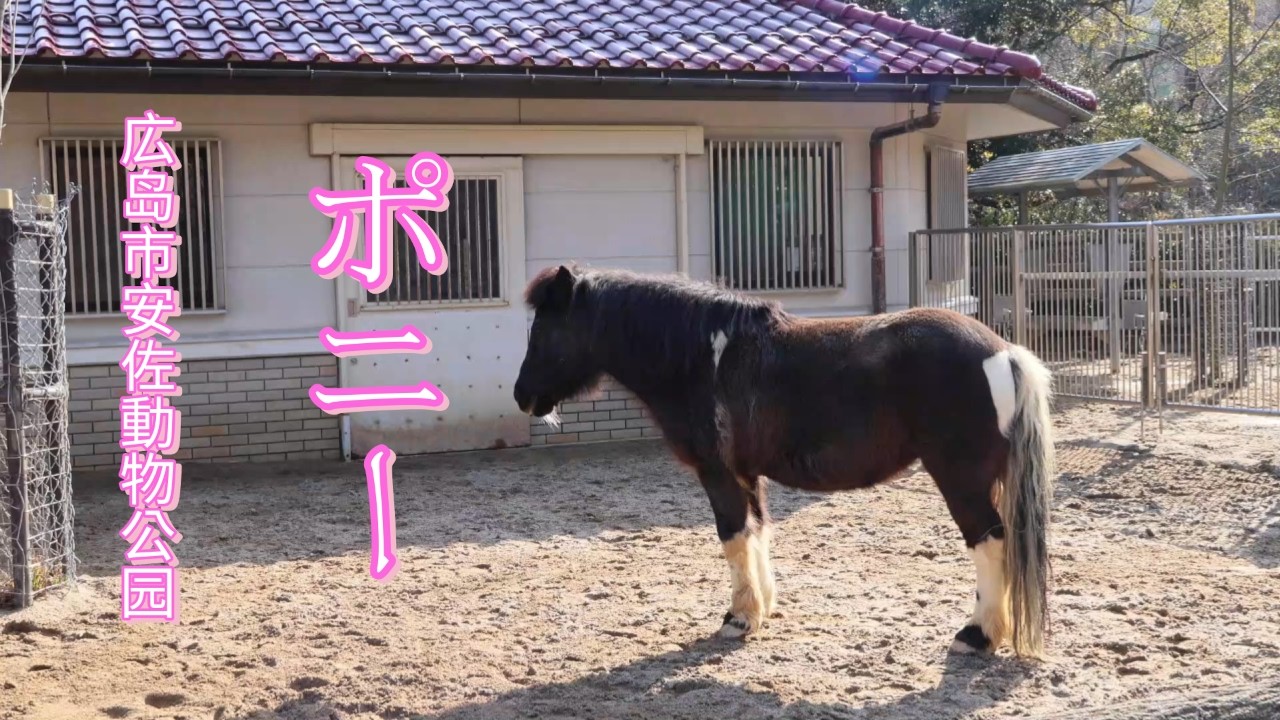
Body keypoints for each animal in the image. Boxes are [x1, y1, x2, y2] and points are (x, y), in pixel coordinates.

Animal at [512, 264, 1056, 658]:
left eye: (546, 330)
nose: (522, 396)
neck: (704, 358)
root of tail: (1004, 352)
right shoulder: (747, 474)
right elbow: (756, 533)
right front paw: (761, 611)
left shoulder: (718, 474)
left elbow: (732, 538)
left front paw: (737, 620)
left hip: (961, 481)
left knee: (989, 542)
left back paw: (977, 635)